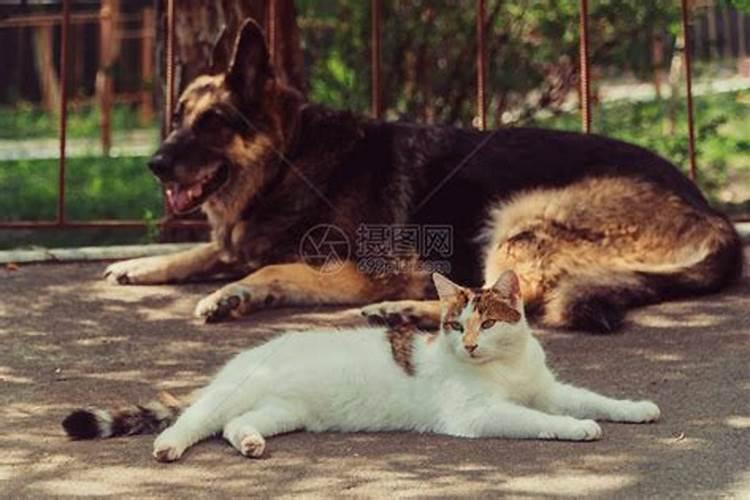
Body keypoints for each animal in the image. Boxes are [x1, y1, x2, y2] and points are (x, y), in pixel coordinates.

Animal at [61, 270, 660, 460]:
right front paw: (579, 429)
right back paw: (168, 446)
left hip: (281, 411)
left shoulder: (547, 387)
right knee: (194, 421)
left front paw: (637, 408)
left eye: (486, 324)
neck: (505, 368)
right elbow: (541, 421)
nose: (467, 345)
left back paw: (251, 443)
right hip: (231, 394)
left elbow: (590, 397)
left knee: (235, 426)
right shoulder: (478, 415)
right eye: (454, 324)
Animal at [106, 18, 748, 332]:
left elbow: (264, 266)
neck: (293, 160)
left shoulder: (371, 270)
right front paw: (141, 265)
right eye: (177, 118)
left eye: (214, 123)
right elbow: (211, 251)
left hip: (518, 218)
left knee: (512, 303)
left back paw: (408, 312)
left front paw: (230, 293)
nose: (154, 164)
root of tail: (712, 213)